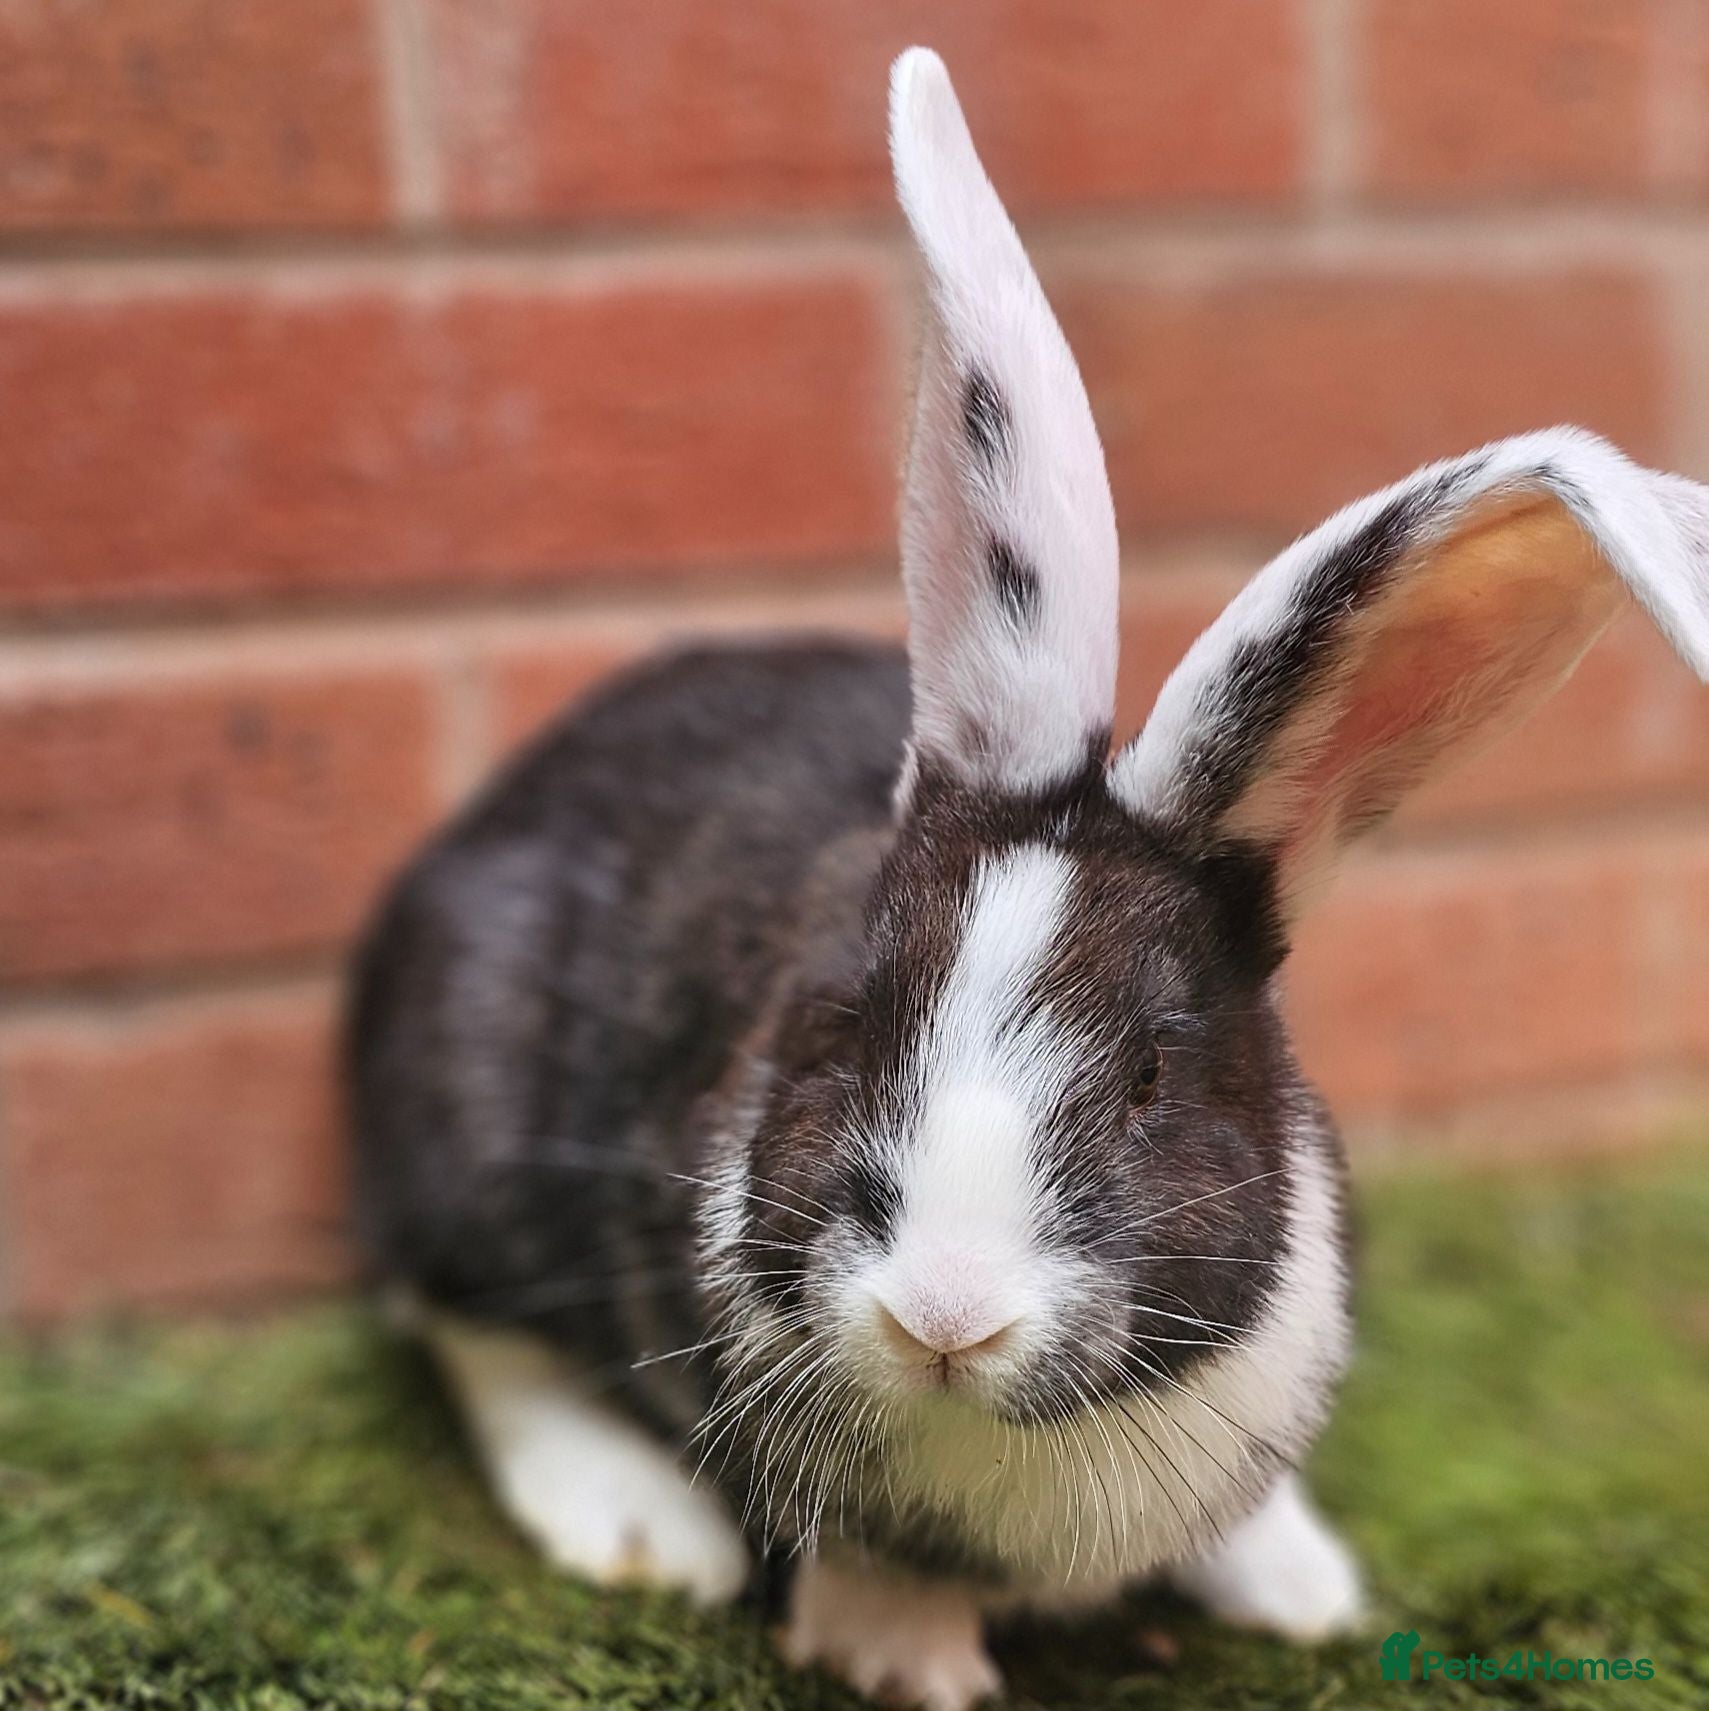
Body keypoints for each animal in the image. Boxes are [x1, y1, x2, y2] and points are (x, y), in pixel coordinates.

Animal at [347, 46, 1709, 1711]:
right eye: (854, 1022)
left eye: (1150, 1076)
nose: (944, 1313)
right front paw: (904, 1658)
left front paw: (1301, 1591)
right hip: (462, 1116)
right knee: (466, 1322)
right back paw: (635, 1525)